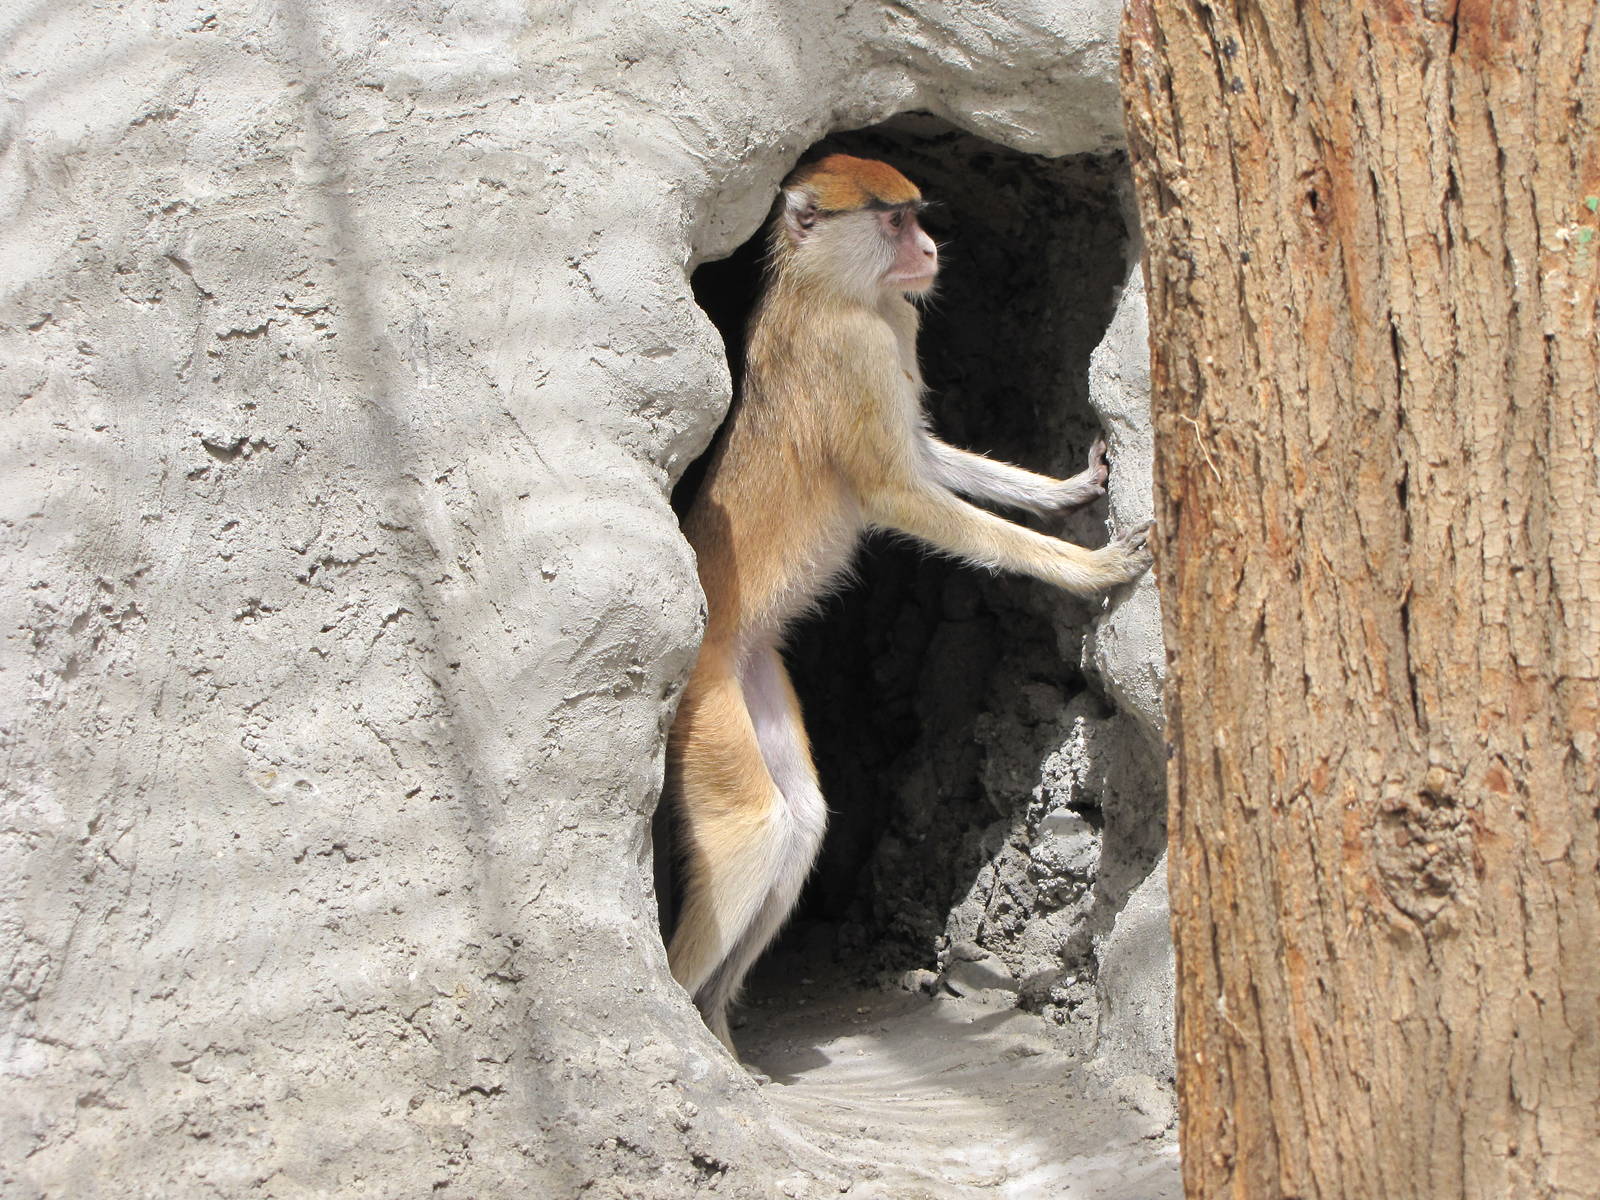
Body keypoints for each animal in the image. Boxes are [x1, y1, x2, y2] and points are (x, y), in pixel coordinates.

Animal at [667, 154, 1152, 1056]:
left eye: (920, 215)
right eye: (894, 220)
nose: (929, 248)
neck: (831, 287)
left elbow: (927, 457)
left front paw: (1071, 486)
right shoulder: (855, 354)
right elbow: (902, 492)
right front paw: (1091, 566)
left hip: (750, 680)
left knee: (804, 822)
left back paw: (717, 1025)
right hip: (703, 707)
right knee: (755, 830)